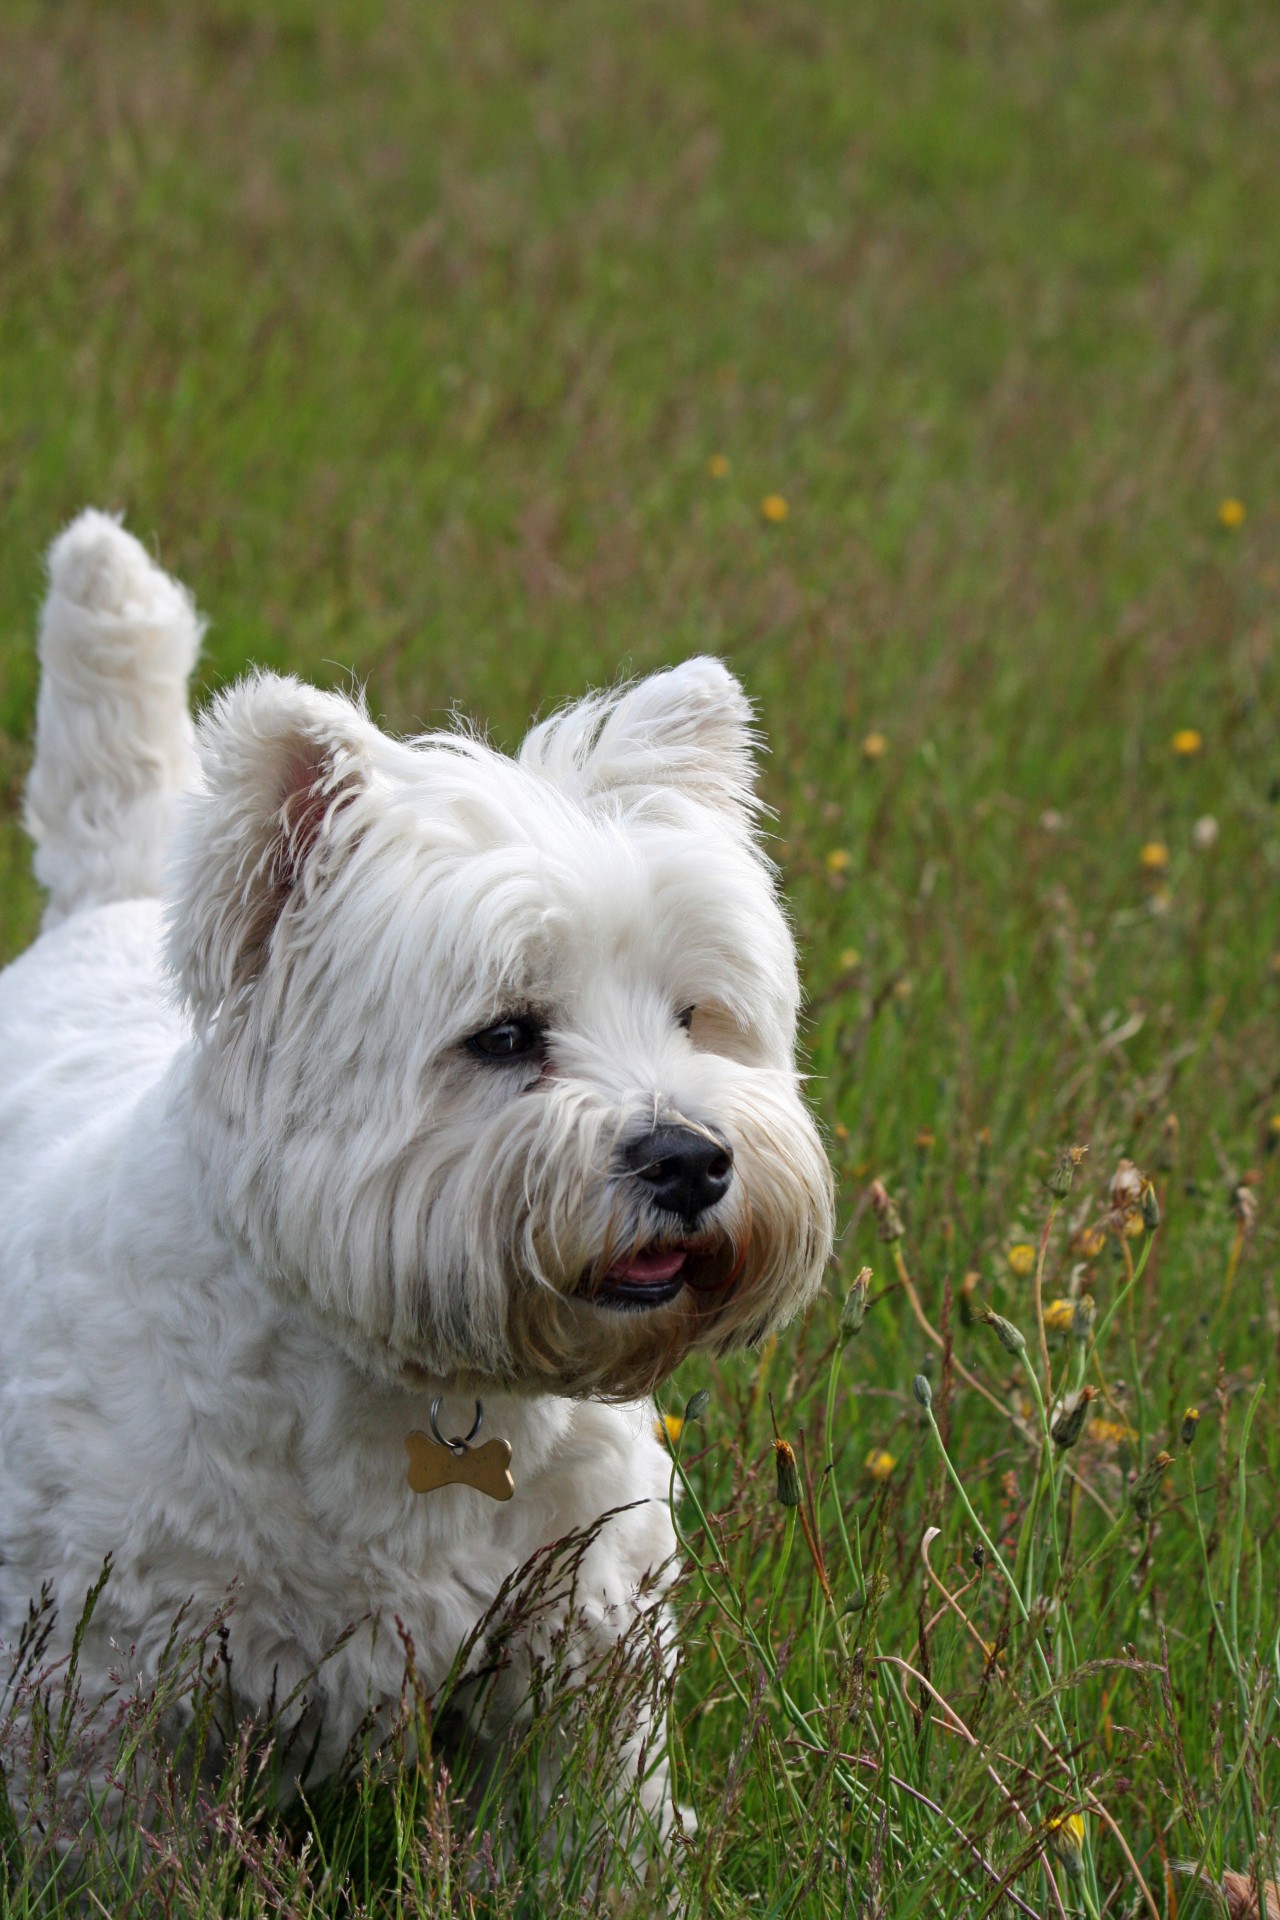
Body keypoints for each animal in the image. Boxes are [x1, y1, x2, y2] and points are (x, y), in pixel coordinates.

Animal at [0, 510, 832, 1827]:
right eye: (503, 1035)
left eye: (694, 1015)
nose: (692, 1162)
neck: (420, 1398)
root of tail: (109, 908)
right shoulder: (104, 1694)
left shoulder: (574, 1674)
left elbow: (588, 1836)